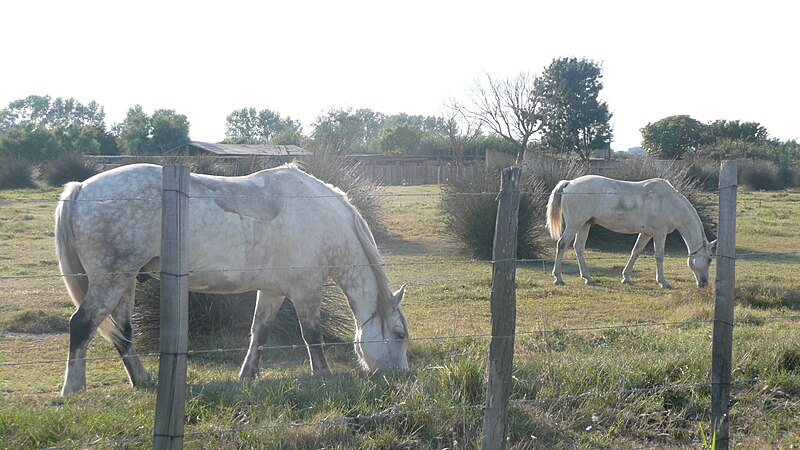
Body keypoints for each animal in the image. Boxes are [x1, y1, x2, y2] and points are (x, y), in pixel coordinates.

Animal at [53, 163, 410, 396]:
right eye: (399, 334)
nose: (401, 375)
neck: (320, 217)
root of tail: (81, 188)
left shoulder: (272, 292)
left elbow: (259, 333)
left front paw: (247, 375)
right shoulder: (306, 291)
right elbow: (312, 336)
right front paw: (323, 376)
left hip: (124, 283)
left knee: (123, 331)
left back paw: (141, 379)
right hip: (111, 280)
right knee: (82, 324)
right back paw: (73, 388)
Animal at [548, 176, 716, 288]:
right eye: (709, 259)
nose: (704, 283)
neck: (669, 201)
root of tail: (569, 184)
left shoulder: (646, 233)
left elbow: (636, 252)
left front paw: (626, 277)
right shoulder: (659, 233)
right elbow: (659, 256)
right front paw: (663, 282)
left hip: (584, 225)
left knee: (579, 248)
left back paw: (588, 278)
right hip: (574, 225)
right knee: (562, 244)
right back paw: (558, 278)